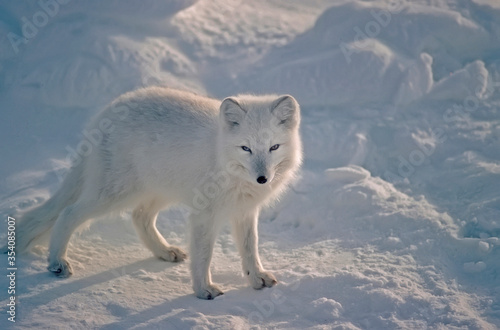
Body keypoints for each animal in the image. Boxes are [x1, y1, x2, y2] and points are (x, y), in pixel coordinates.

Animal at [10, 87, 300, 300]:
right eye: (246, 148)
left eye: (274, 147)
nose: (262, 179)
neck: (222, 158)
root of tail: (106, 112)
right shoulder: (204, 214)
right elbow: (203, 255)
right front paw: (203, 289)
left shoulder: (244, 211)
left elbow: (250, 248)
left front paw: (256, 277)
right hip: (114, 194)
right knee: (68, 213)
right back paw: (57, 261)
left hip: (158, 191)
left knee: (139, 217)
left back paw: (164, 251)